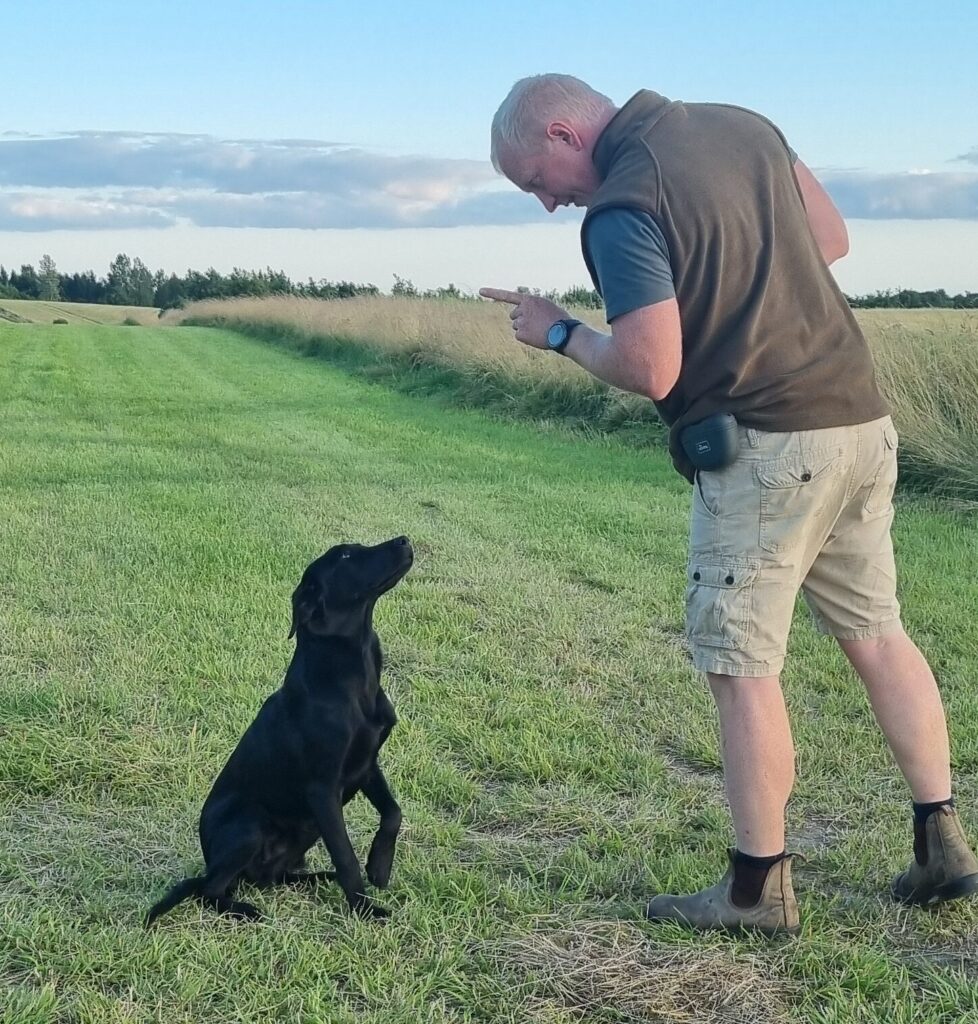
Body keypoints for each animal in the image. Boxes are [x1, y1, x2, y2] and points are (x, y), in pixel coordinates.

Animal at [146, 536, 413, 929]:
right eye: (347, 555)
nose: (405, 540)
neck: (351, 682)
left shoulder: (367, 765)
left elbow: (393, 813)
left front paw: (379, 868)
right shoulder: (323, 789)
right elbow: (346, 856)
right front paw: (364, 908)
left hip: (305, 830)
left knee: (273, 878)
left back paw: (317, 878)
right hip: (250, 825)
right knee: (209, 890)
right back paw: (244, 910)